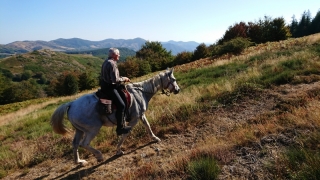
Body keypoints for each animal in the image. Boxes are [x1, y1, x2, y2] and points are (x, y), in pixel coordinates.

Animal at [50, 68, 180, 166]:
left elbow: (148, 126)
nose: (178, 90)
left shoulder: (141, 115)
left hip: (79, 130)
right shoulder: (134, 119)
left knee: (75, 144)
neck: (140, 93)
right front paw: (118, 150)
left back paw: (80, 161)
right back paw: (99, 156)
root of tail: (71, 104)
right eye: (173, 79)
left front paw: (155, 138)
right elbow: (125, 133)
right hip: (92, 129)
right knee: (84, 143)